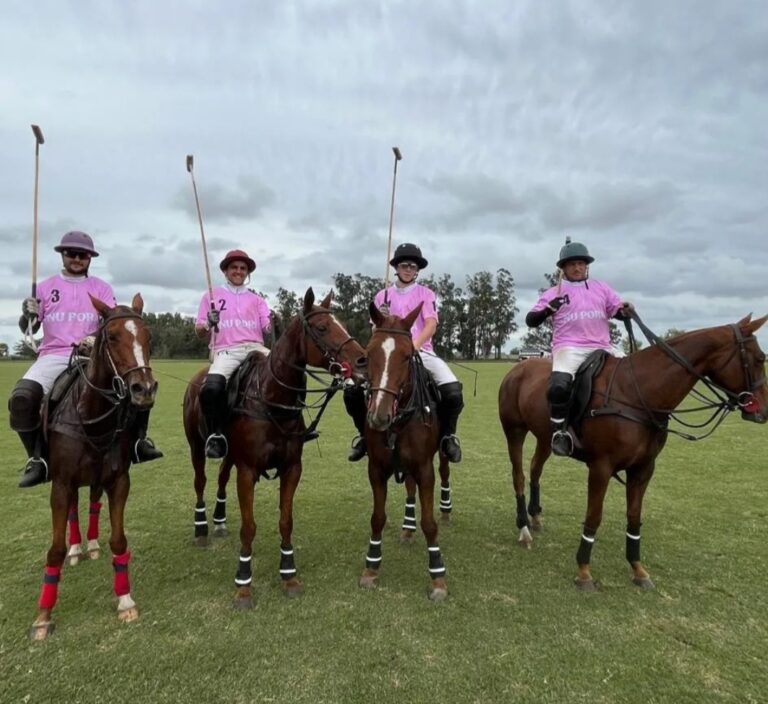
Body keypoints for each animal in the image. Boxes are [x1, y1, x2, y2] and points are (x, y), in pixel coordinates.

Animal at [29, 294, 157, 640]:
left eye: (148, 336)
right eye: (111, 337)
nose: (143, 390)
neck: (92, 417)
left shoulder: (119, 479)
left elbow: (119, 539)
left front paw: (125, 601)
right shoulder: (61, 483)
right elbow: (55, 549)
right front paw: (43, 617)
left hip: (96, 477)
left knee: (92, 502)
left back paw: (93, 545)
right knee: (74, 507)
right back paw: (77, 549)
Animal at [184, 288, 368, 608]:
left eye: (342, 323)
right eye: (322, 327)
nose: (362, 360)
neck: (273, 400)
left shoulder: (291, 467)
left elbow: (286, 521)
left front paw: (289, 574)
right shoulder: (248, 470)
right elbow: (249, 526)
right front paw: (243, 584)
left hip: (230, 454)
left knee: (220, 477)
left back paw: (219, 521)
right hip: (196, 446)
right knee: (200, 481)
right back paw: (202, 529)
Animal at [360, 300, 450, 604]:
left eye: (407, 355)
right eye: (368, 354)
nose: (378, 416)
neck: (399, 421)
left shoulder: (425, 468)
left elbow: (430, 523)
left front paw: (437, 578)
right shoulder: (376, 469)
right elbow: (377, 518)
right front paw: (371, 568)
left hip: (441, 456)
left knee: (445, 471)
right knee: (410, 487)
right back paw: (408, 529)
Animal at [498, 314, 768, 588]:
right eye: (760, 358)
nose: (762, 411)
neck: (641, 396)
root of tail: (518, 368)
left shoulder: (643, 468)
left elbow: (634, 517)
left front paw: (638, 569)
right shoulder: (601, 467)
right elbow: (594, 517)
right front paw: (584, 572)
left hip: (545, 437)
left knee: (535, 469)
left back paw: (535, 517)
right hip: (515, 430)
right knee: (519, 475)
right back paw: (524, 529)